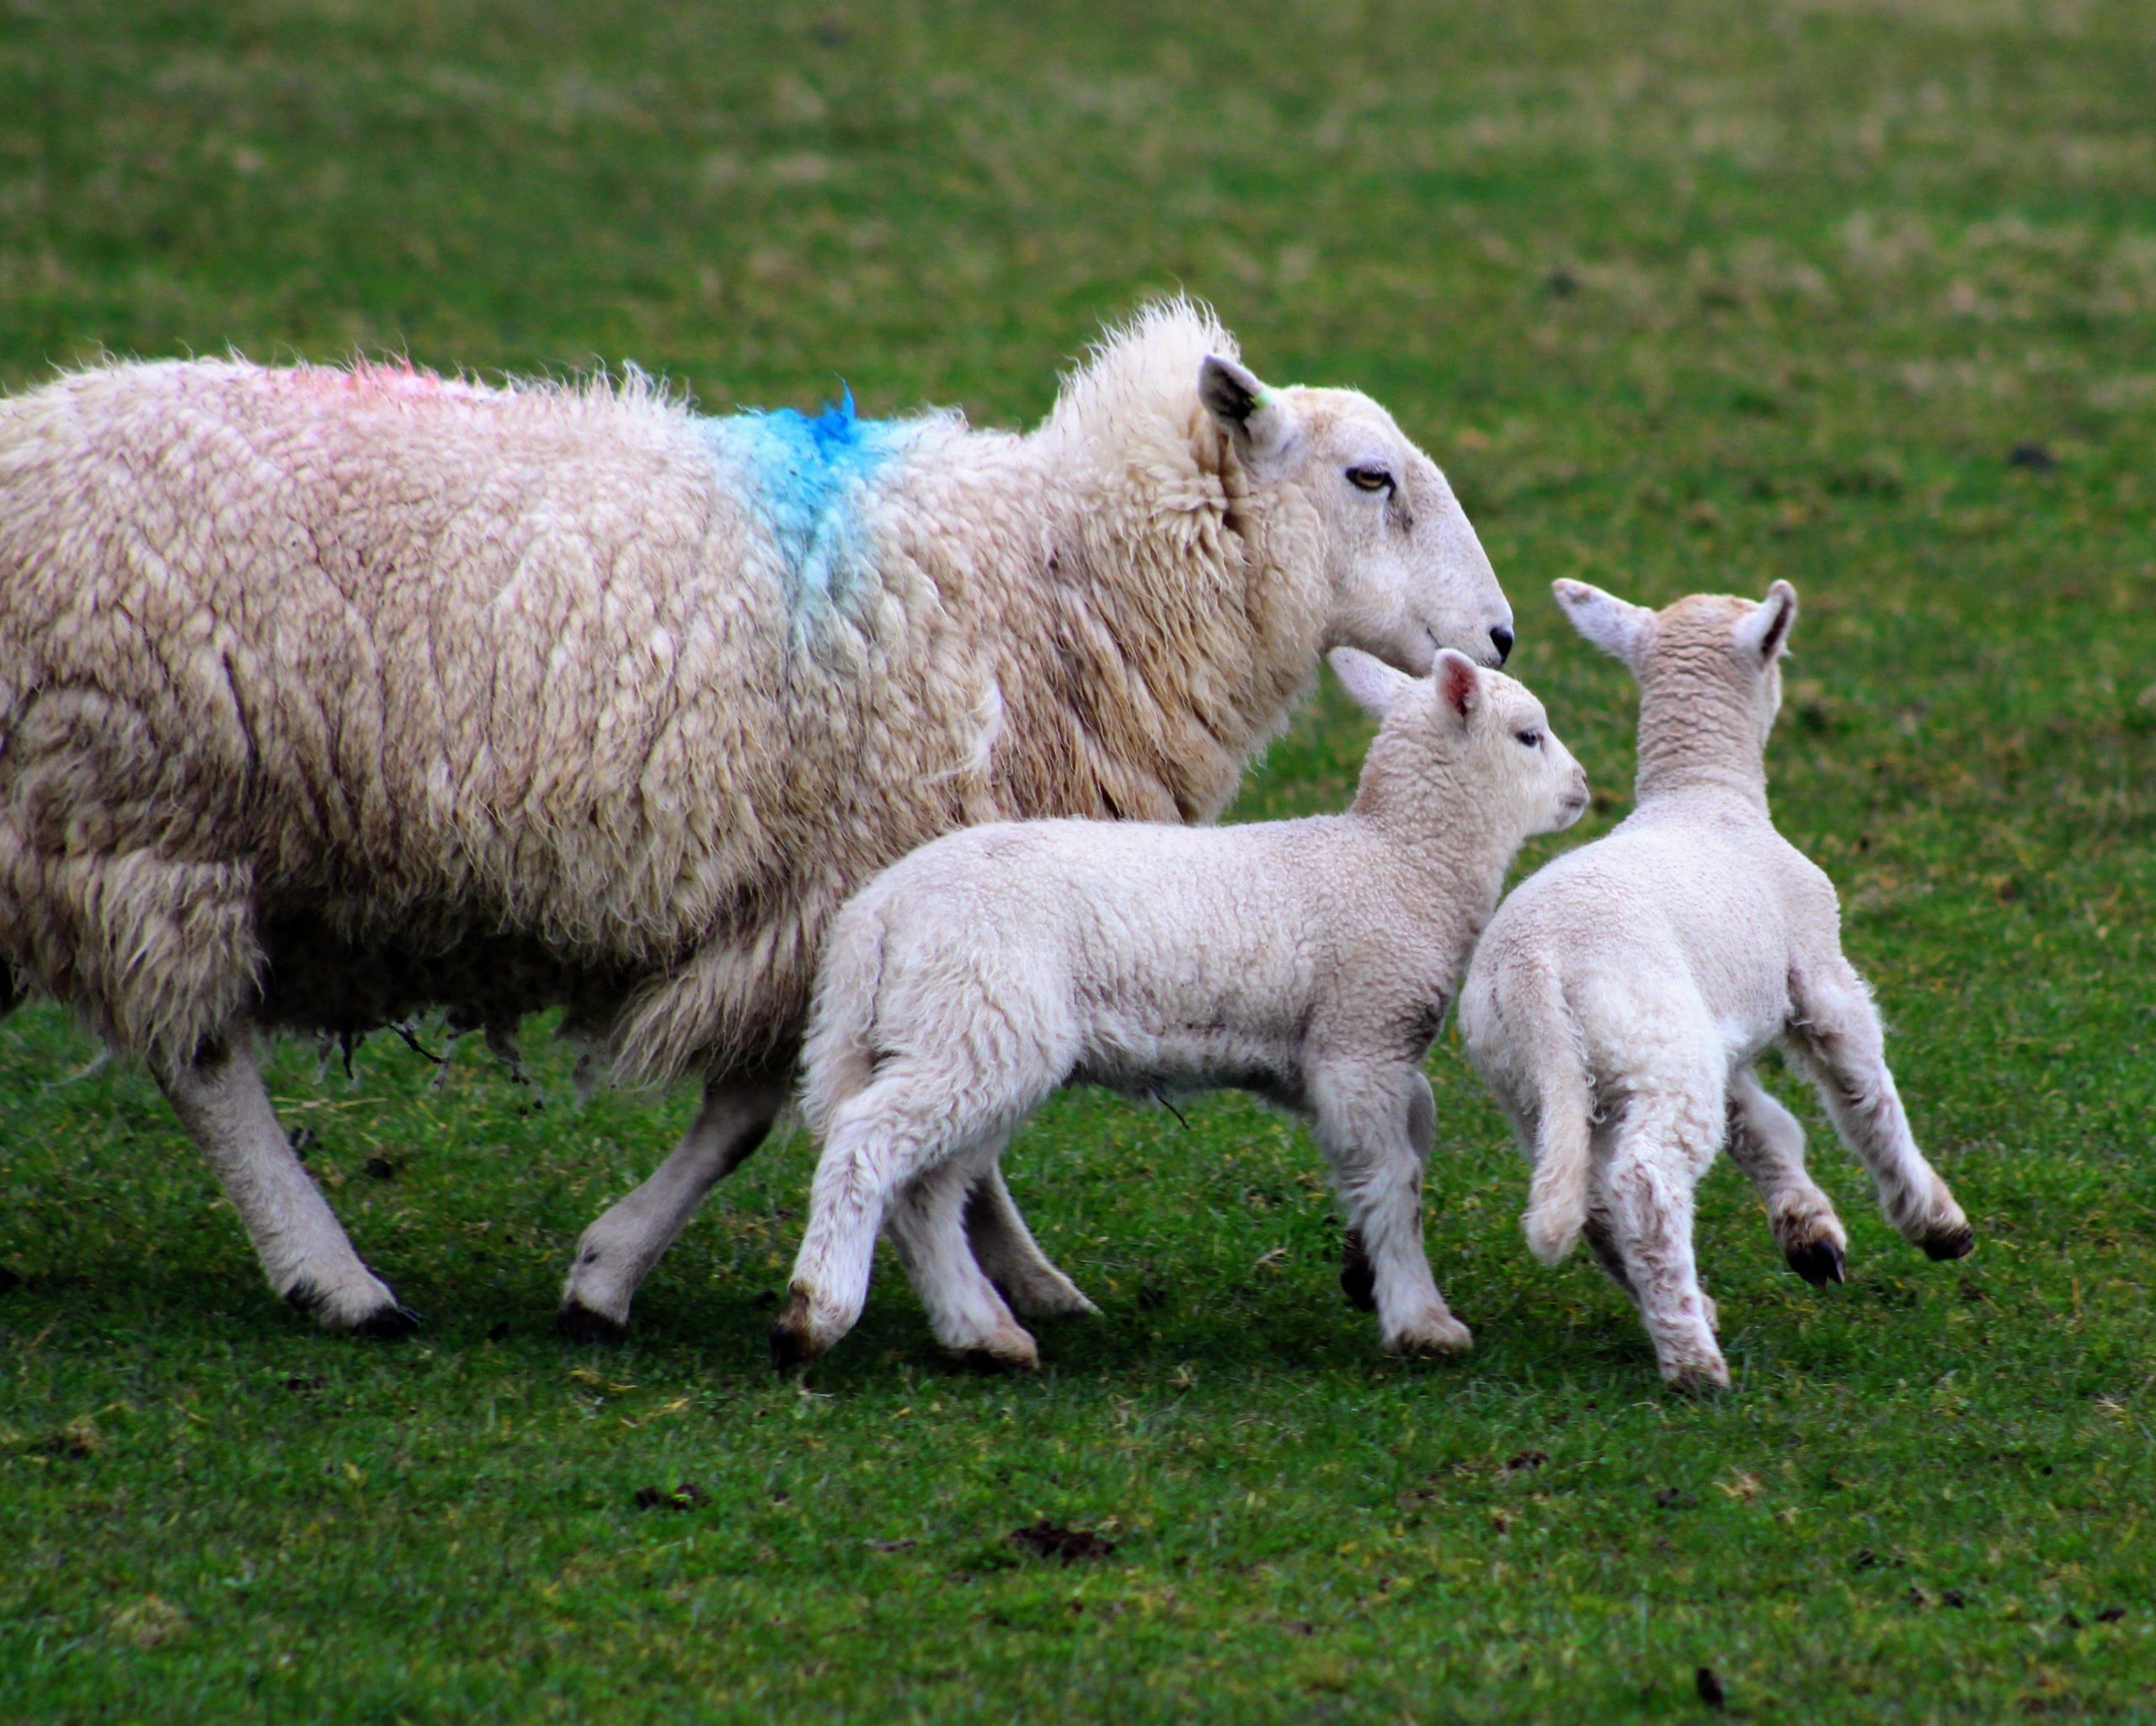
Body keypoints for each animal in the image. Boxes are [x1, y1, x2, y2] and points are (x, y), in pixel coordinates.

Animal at [0, 301, 1518, 1335]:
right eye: (1370, 478)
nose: (1499, 634)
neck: (1055, 581)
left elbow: (943, 1125)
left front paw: (1019, 1272)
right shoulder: (833, 892)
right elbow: (759, 1113)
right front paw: (613, 1269)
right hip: (150, 815)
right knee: (206, 1061)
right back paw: (334, 1274)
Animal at [771, 647, 1588, 1369]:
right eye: (1529, 735)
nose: (1582, 786)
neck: (1401, 860)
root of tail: (875, 913)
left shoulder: (1328, 1055)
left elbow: (1417, 1128)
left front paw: (1362, 1269)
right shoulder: (1360, 1039)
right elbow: (1395, 1179)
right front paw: (1422, 1318)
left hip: (963, 1032)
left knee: (930, 1189)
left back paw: (983, 1333)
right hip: (977, 1016)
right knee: (869, 1141)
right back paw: (815, 1314)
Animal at [1458, 579, 1974, 1392]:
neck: (1704, 792)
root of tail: (1534, 964)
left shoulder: (1716, 1034)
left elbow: (1760, 1126)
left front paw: (1810, 1233)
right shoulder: (1819, 973)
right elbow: (1865, 1095)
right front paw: (1936, 1223)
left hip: (1548, 1080)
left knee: (1594, 1201)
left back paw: (1684, 1306)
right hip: (1657, 1045)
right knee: (1644, 1182)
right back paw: (1693, 1361)